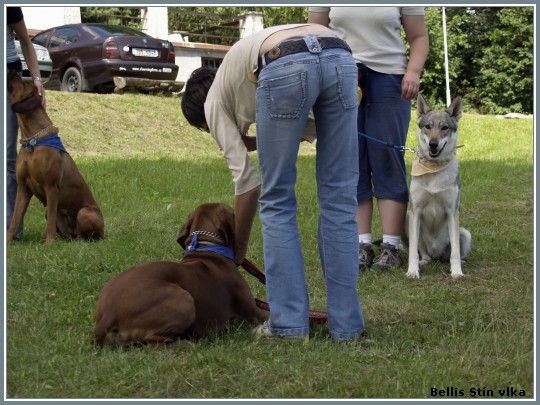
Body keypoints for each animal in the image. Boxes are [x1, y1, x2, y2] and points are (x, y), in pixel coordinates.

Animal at [7, 70, 103, 243]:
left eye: (24, 83)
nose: (11, 70)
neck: (33, 141)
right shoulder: (23, 188)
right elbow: (15, 220)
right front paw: (8, 240)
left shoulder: (51, 187)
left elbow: (51, 221)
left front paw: (49, 243)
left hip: (84, 213)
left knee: (88, 236)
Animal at [402, 94, 470, 278]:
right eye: (428, 127)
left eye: (444, 128)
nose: (433, 144)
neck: (433, 168)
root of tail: (436, 254)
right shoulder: (415, 211)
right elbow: (412, 253)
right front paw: (412, 272)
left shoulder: (452, 211)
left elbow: (455, 252)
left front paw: (457, 273)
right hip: (408, 223)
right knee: (424, 255)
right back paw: (424, 262)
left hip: (465, 234)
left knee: (452, 255)